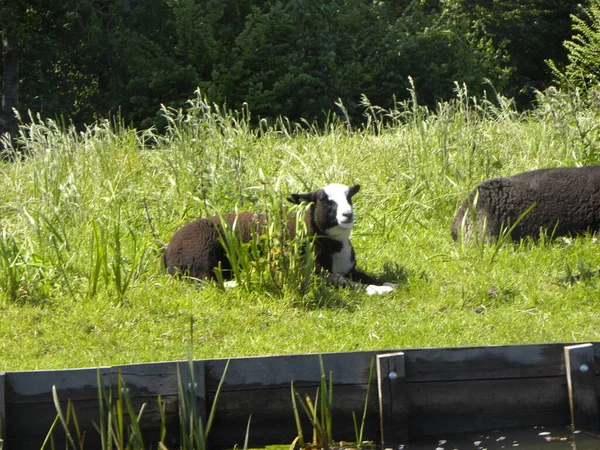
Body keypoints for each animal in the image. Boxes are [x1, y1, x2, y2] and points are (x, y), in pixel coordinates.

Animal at [163, 183, 394, 296]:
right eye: (324, 200)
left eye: (349, 197)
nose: (347, 215)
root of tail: (167, 251)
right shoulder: (308, 270)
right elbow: (340, 281)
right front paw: (378, 290)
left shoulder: (349, 268)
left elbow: (364, 276)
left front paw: (384, 282)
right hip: (201, 258)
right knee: (207, 282)